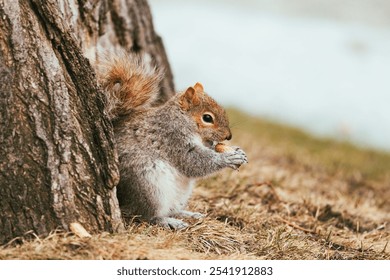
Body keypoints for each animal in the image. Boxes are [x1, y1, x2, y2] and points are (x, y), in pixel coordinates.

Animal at [95, 50, 247, 230]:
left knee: (172, 209)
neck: (182, 119)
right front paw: (228, 157)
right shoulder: (173, 137)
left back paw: (187, 214)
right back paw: (167, 221)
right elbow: (194, 162)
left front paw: (237, 151)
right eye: (207, 118)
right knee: (146, 215)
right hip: (148, 185)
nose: (228, 136)